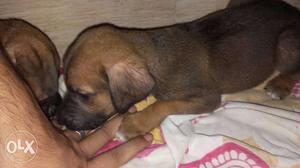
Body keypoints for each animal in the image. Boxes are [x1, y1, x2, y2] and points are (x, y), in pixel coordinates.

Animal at [57, 0, 300, 138]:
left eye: (82, 94)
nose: (59, 120)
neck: (154, 54)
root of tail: (293, 10)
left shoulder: (208, 97)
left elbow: (164, 104)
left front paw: (136, 124)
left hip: (286, 41)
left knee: (294, 68)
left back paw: (280, 85)